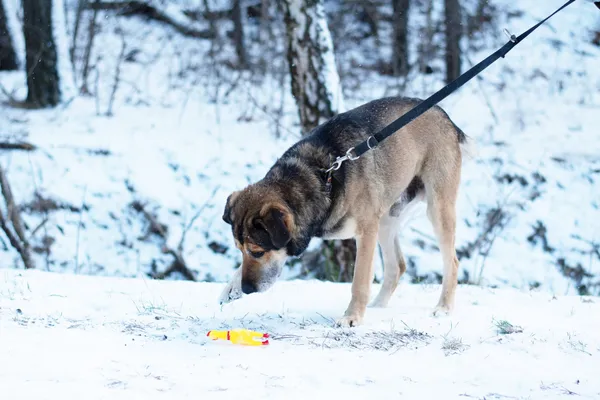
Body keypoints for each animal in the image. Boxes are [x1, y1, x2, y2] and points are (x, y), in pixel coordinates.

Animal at [218, 95, 472, 326]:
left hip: (436, 208)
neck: (322, 178)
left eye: (258, 251)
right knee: (397, 266)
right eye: (240, 249)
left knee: (452, 262)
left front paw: (352, 317)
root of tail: (444, 115)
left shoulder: (366, 231)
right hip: (387, 218)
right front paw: (231, 287)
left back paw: (443, 307)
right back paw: (377, 307)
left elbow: (359, 281)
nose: (247, 289)